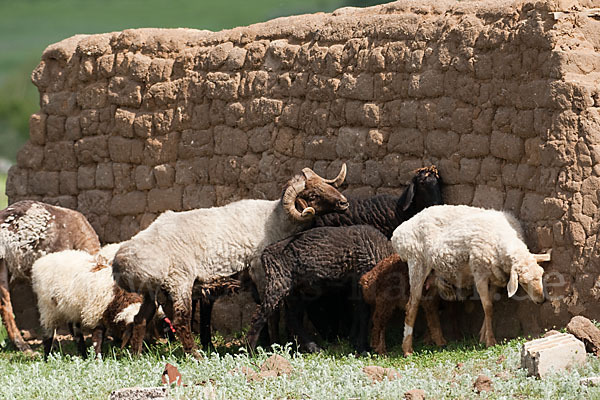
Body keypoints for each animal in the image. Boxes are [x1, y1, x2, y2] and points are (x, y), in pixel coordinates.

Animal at [113, 166, 350, 356]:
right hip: (178, 281)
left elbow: (263, 308)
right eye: (312, 194)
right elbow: (272, 312)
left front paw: (266, 342)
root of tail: (121, 261)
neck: (277, 220)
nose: (344, 202)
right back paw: (196, 356)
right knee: (181, 321)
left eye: (325, 184)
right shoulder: (261, 272)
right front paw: (273, 344)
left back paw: (136, 355)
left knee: (140, 319)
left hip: (152, 291)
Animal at [246, 225, 396, 354]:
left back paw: (314, 348)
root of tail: (266, 253)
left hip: (298, 290)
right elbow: (364, 313)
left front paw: (354, 342)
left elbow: (357, 312)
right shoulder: (361, 277)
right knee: (259, 316)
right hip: (277, 283)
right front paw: (362, 348)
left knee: (292, 317)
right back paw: (249, 351)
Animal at [392, 206, 552, 356]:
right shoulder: (480, 274)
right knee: (412, 306)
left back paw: (439, 341)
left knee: (429, 304)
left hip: (434, 273)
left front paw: (483, 335)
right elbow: (487, 306)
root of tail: (398, 233)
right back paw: (407, 349)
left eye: (541, 274)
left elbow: (490, 305)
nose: (541, 300)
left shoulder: (495, 279)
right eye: (523, 282)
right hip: (417, 264)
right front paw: (490, 340)